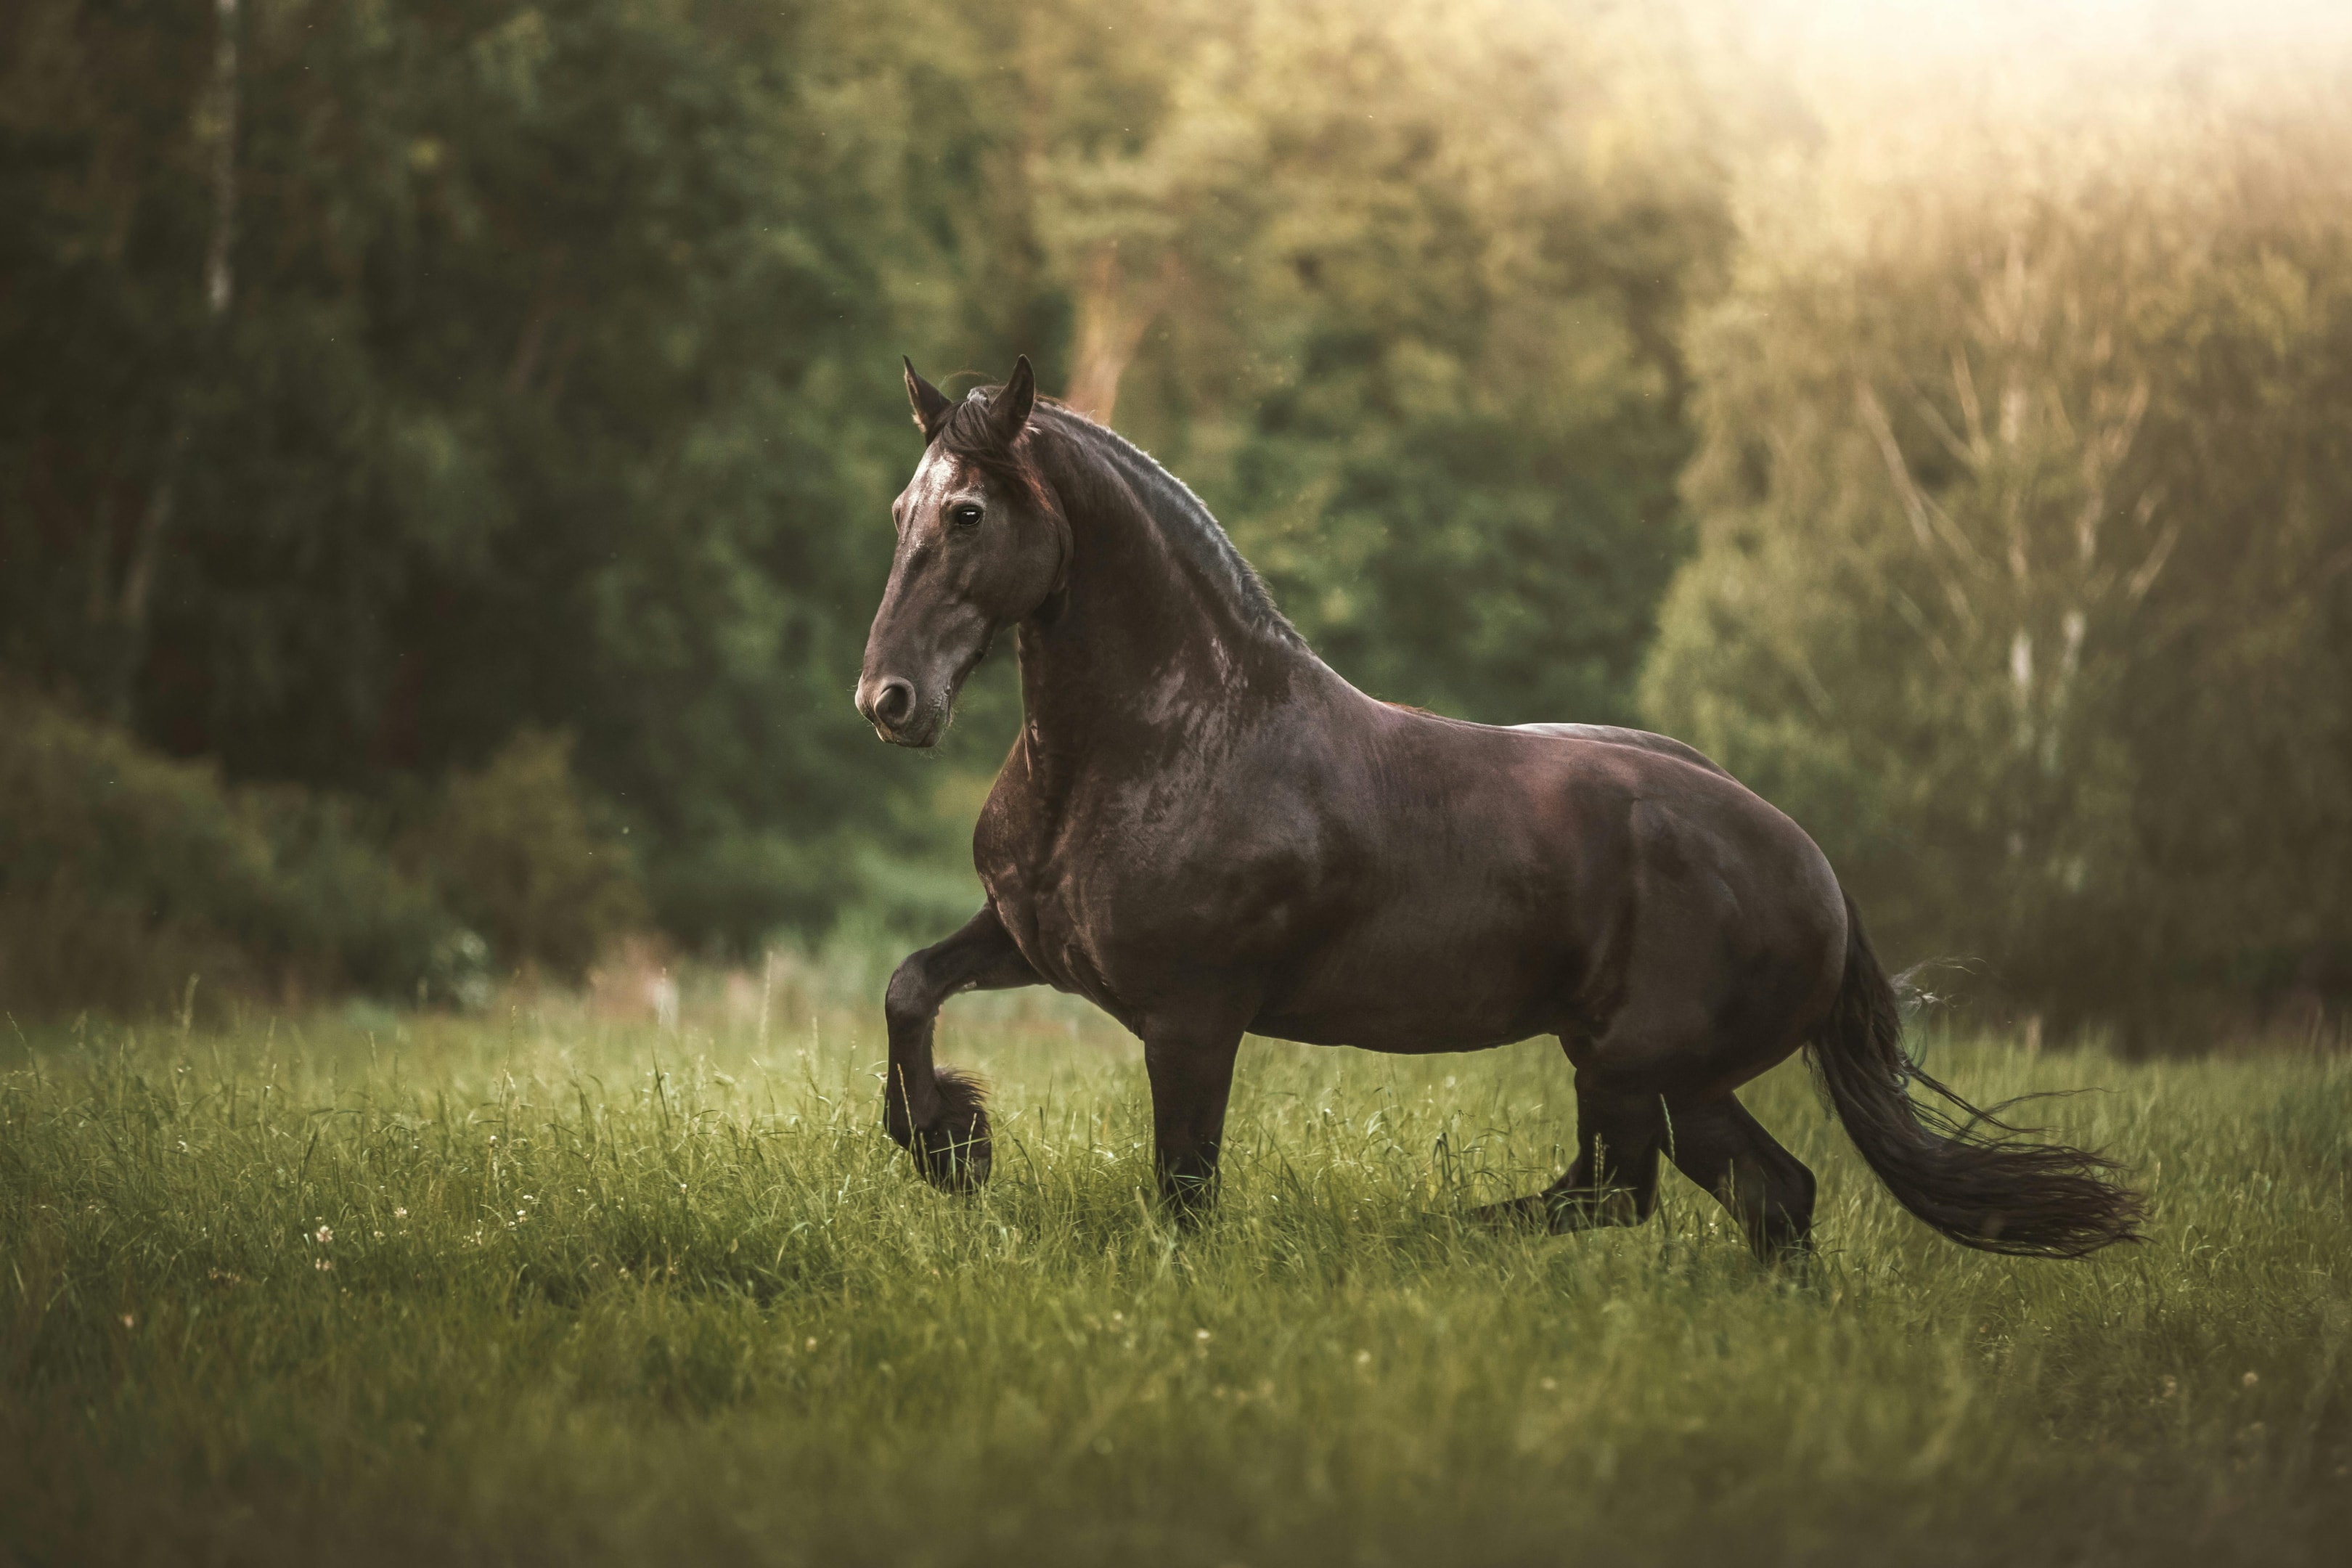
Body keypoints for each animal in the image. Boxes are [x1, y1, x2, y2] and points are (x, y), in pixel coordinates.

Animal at [852, 355, 2143, 1260]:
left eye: (968, 515)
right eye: (899, 512)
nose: (889, 700)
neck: (1167, 741)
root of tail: (1813, 866)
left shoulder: (1192, 1017)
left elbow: (1184, 1192)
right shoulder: (1030, 940)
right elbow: (909, 986)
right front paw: (949, 1146)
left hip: (1635, 1068)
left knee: (1623, 1191)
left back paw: (1432, 1236)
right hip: (1671, 1079)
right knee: (1767, 1196)